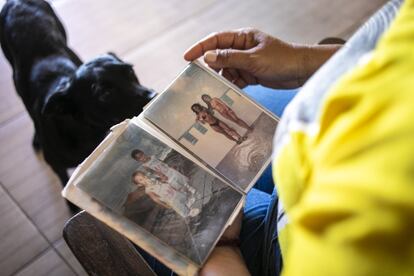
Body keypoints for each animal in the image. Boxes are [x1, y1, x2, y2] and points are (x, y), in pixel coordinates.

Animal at [0, 0, 155, 207]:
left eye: (129, 71)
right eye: (104, 93)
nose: (154, 95)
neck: (87, 131)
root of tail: (16, 2)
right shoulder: (56, 165)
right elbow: (63, 179)